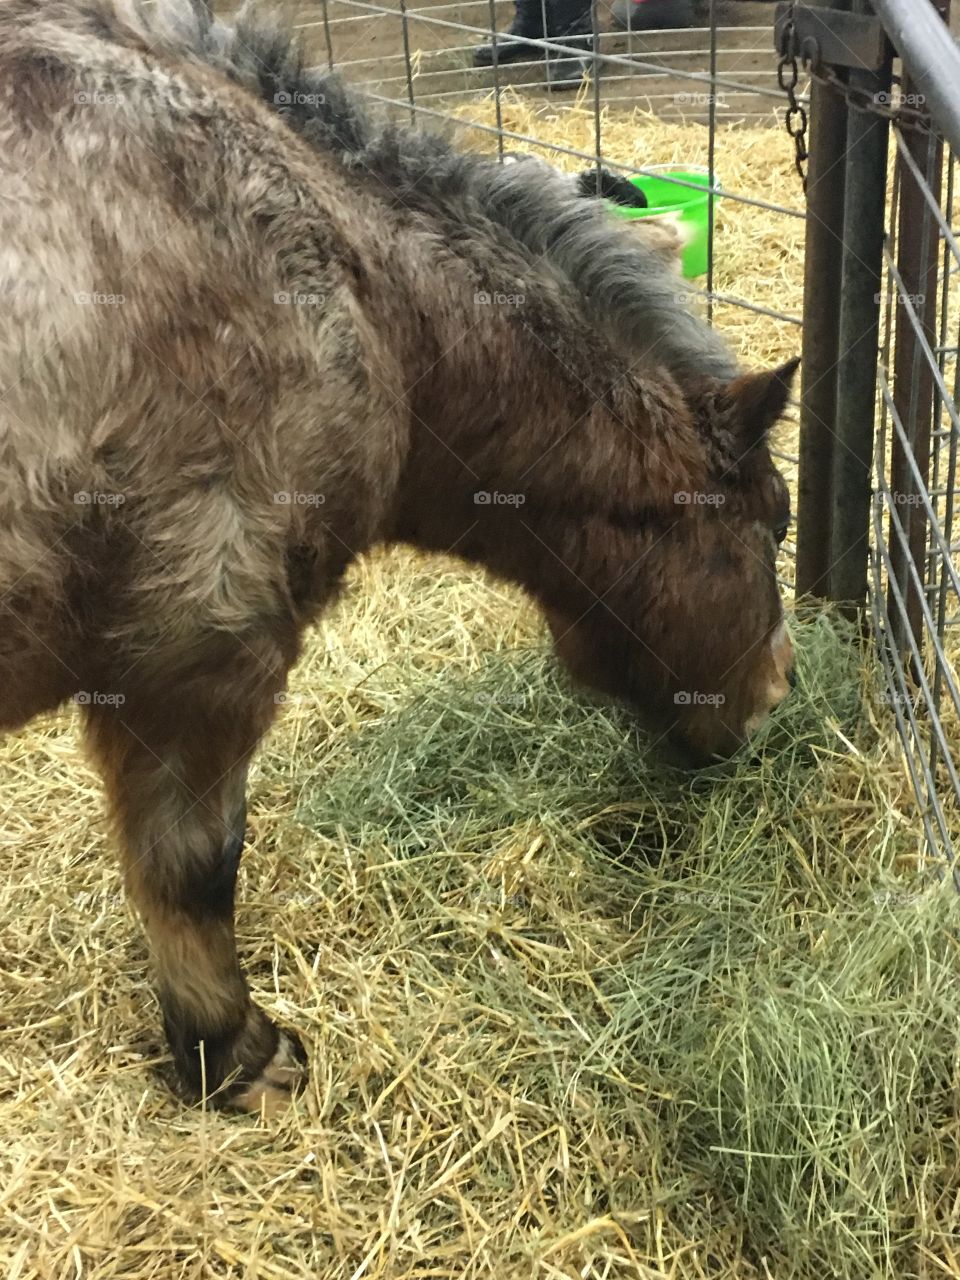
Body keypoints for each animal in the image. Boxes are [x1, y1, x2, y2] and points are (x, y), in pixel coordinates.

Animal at [0, 2, 798, 1111]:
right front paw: (232, 1052)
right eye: (777, 526)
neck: (358, 286)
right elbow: (192, 868)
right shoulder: (196, 653)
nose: (775, 693)